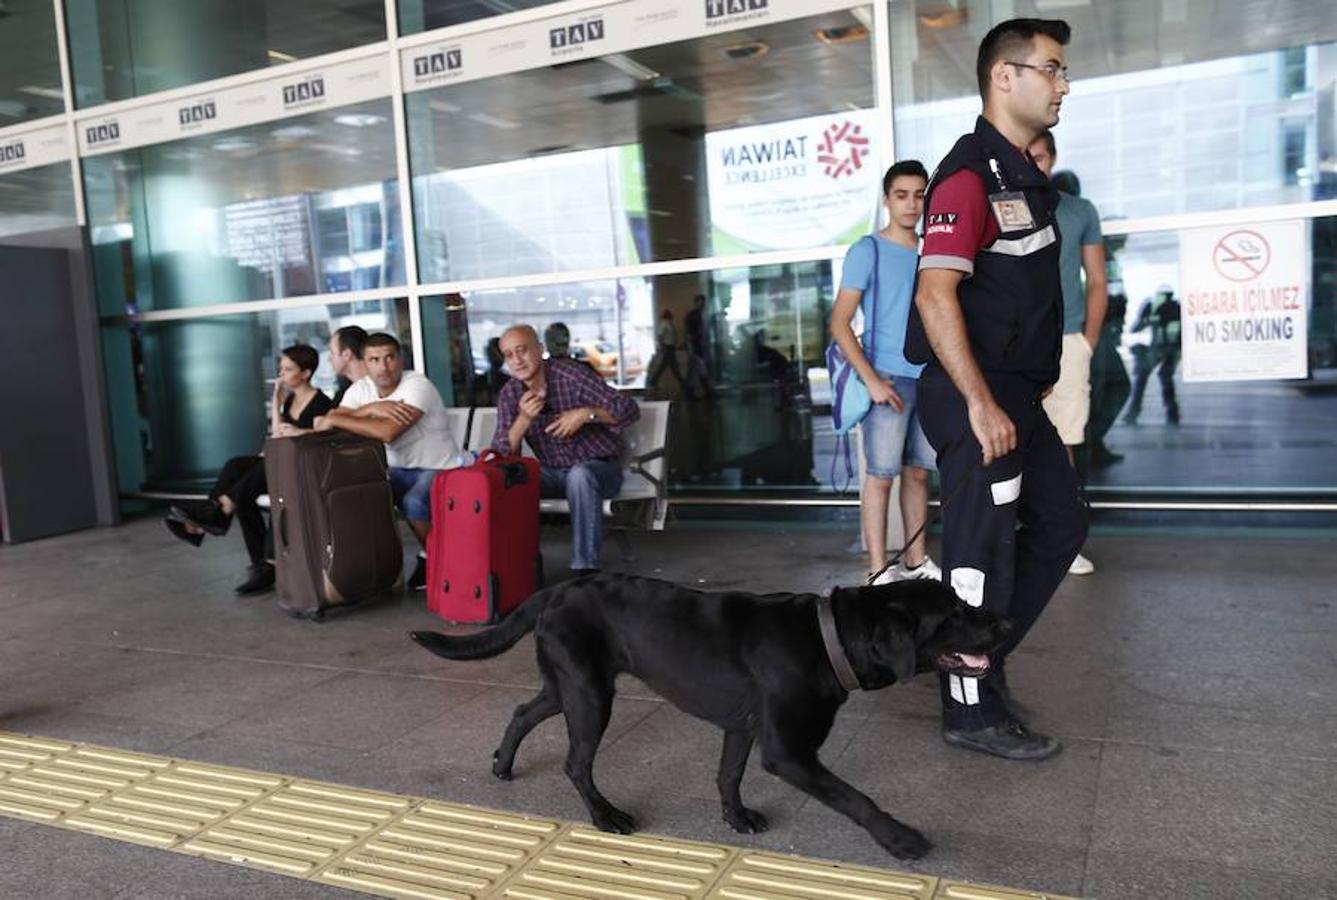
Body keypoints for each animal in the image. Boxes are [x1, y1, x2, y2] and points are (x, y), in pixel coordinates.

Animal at [411, 572, 1005, 861]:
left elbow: (728, 775)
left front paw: (735, 818)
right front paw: (899, 838)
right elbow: (855, 798)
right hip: (589, 695)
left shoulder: (742, 728)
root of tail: (555, 589)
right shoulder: (788, 753)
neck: (827, 638)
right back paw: (606, 817)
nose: (1004, 622)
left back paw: (502, 765)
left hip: (568, 688)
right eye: (953, 614)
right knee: (576, 764)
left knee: (521, 711)